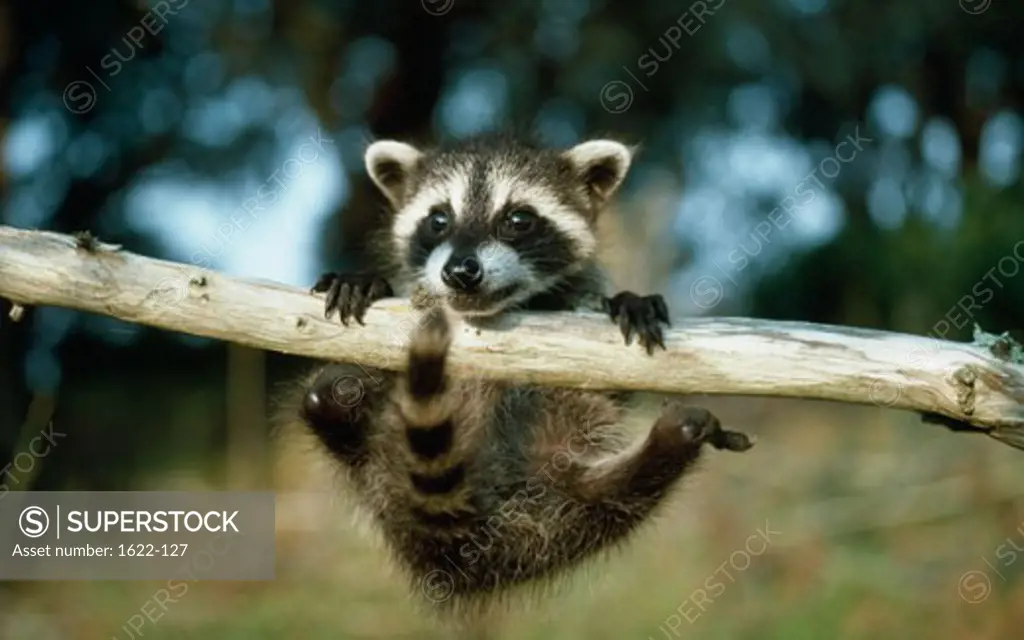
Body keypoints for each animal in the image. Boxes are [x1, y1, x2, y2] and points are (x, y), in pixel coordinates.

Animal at [288, 136, 753, 618]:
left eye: (517, 219)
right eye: (438, 219)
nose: (461, 271)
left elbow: (614, 387)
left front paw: (628, 300)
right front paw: (369, 282)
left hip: (562, 513)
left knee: (613, 496)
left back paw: (668, 443)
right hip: (375, 468)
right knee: (323, 400)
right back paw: (339, 402)